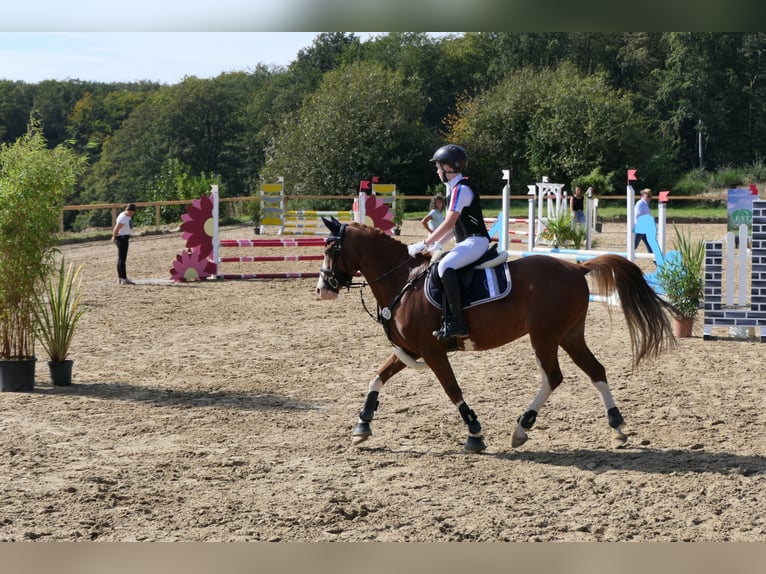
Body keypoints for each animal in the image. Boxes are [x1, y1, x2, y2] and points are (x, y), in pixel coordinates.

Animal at [316, 218, 676, 452]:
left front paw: (474, 433)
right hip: (569, 336)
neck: (404, 280)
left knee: (553, 377)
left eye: (331, 248)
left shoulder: (432, 352)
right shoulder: (412, 350)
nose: (323, 288)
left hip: (544, 336)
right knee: (595, 370)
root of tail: (577, 267)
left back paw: (522, 427)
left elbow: (452, 390)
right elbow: (378, 377)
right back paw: (616, 427)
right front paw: (362, 424)